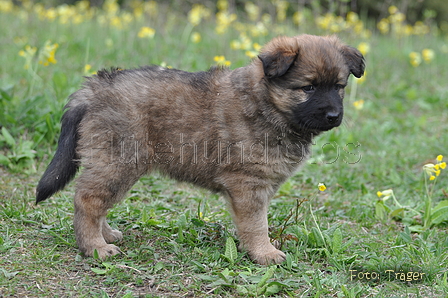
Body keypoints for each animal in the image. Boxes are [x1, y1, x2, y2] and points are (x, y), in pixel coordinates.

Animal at [36, 35, 364, 266]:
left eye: (339, 87)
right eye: (308, 88)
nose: (334, 115)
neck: (266, 104)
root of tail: (96, 87)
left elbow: (255, 223)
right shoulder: (248, 184)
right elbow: (256, 224)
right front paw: (264, 253)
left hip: (116, 166)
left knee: (98, 200)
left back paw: (105, 234)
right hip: (119, 161)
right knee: (88, 200)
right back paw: (95, 247)